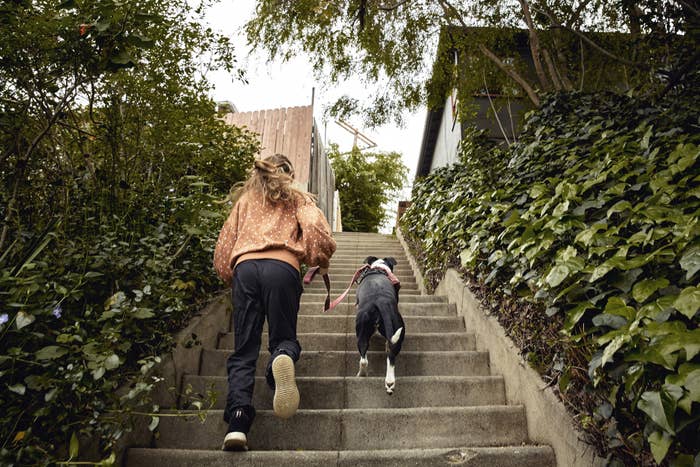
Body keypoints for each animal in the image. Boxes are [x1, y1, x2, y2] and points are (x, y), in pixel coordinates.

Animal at [356, 256, 404, 394]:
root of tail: (381, 300)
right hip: (394, 324)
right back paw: (389, 382)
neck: (379, 267)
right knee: (389, 354)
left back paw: (363, 375)